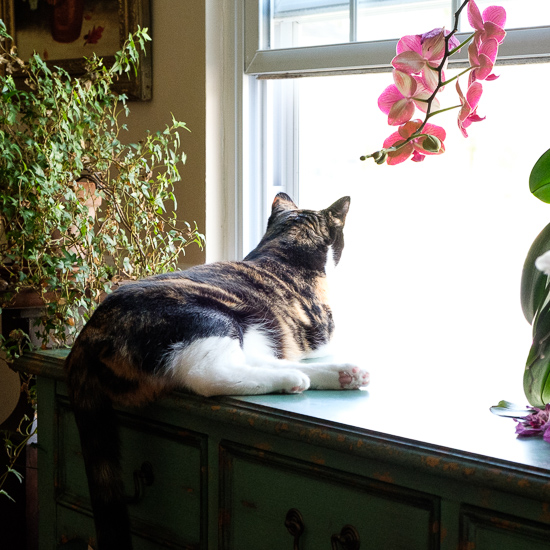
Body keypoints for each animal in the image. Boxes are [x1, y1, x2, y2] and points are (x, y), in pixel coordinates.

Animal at [68, 192, 370, 548]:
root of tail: (88, 334)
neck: (283, 247)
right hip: (212, 319)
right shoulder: (319, 335)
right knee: (208, 376)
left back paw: (342, 375)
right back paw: (294, 379)